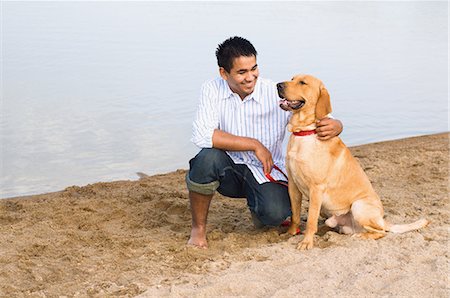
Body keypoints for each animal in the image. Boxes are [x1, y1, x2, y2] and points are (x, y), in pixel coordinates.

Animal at [276, 74, 428, 249]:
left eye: (303, 82)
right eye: (292, 78)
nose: (278, 85)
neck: (304, 132)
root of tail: (382, 219)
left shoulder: (316, 188)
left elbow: (311, 221)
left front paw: (307, 242)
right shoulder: (293, 185)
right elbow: (295, 215)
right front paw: (290, 234)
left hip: (358, 206)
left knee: (381, 231)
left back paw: (361, 236)